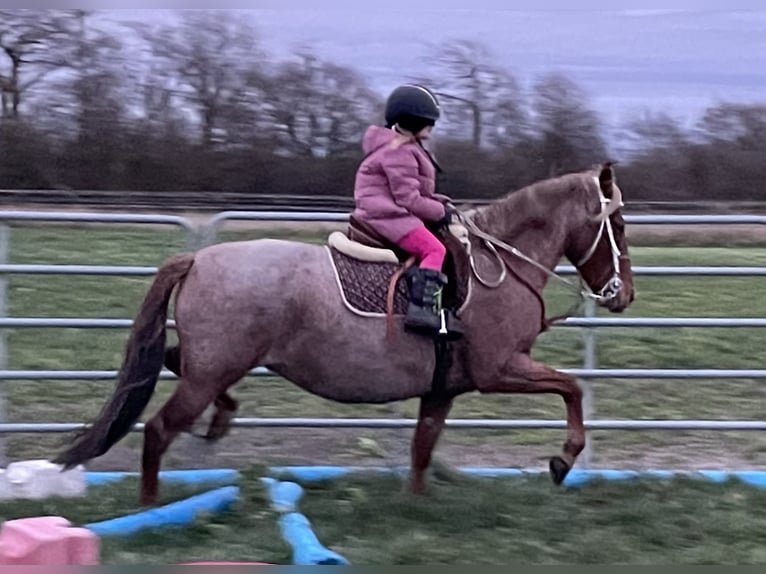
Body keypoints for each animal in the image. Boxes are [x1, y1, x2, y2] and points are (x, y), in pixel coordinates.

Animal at [54, 161, 636, 504]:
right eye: (618, 225)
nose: (623, 294)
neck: (498, 267)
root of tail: (198, 258)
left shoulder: (442, 390)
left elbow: (422, 449)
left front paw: (415, 506)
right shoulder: (499, 370)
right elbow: (571, 388)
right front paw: (562, 460)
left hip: (214, 365)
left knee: (177, 365)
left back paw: (222, 418)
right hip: (211, 371)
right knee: (157, 429)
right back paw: (151, 502)